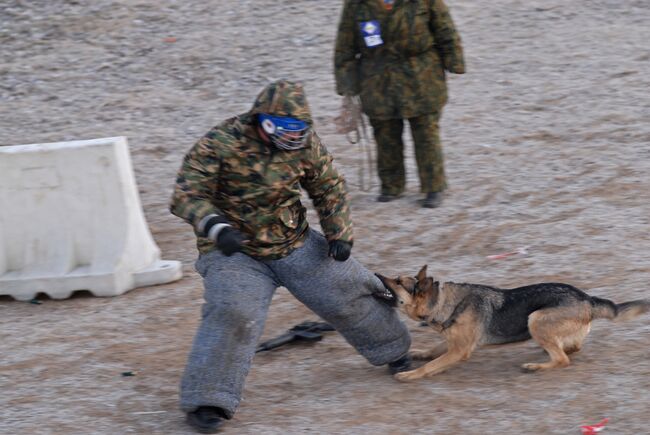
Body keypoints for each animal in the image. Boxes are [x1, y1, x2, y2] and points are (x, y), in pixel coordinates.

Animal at [374, 266, 648, 382]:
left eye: (398, 281)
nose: (375, 274)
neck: (441, 301)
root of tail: (588, 299)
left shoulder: (460, 350)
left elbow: (431, 365)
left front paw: (410, 374)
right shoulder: (455, 342)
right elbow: (432, 352)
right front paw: (418, 353)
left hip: (534, 318)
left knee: (563, 359)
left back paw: (536, 366)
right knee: (571, 348)